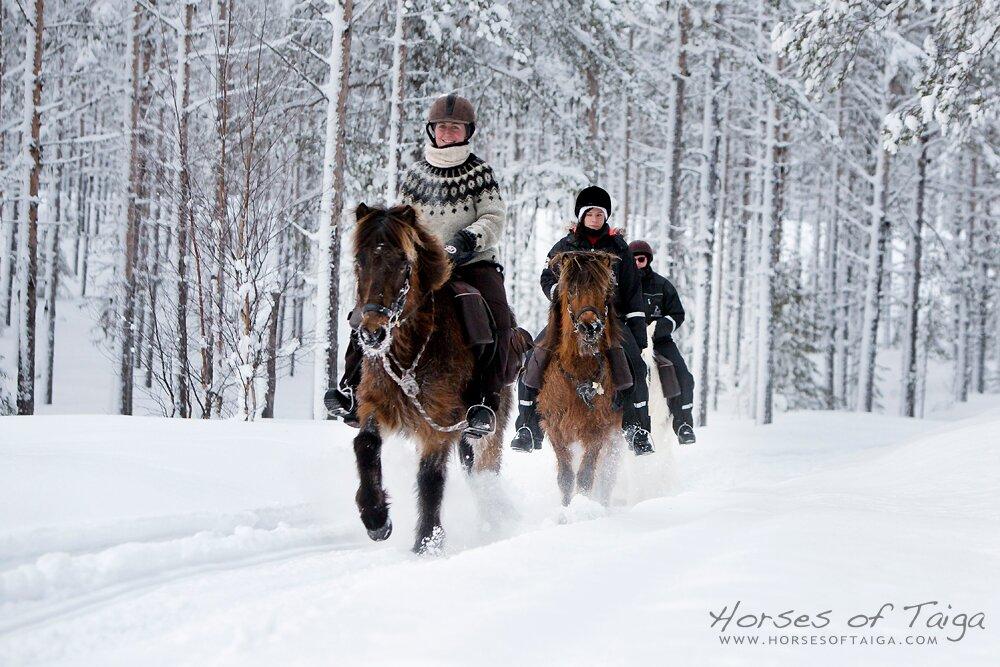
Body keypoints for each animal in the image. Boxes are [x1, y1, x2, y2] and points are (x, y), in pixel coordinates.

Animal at [349, 203, 512, 554]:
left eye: (404, 263)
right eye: (359, 261)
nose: (371, 334)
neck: (413, 348)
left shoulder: (438, 420)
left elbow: (430, 478)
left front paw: (427, 543)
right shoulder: (376, 403)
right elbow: (365, 443)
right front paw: (376, 519)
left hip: (486, 428)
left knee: (485, 471)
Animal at [536, 251, 624, 506]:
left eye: (605, 289)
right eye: (572, 289)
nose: (590, 327)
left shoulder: (598, 429)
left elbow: (585, 476)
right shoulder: (556, 428)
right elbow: (566, 477)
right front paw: (566, 511)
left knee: (607, 474)